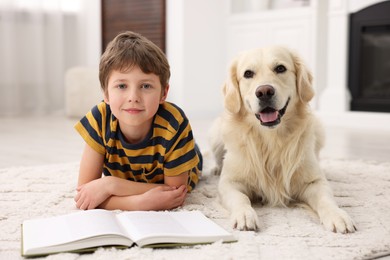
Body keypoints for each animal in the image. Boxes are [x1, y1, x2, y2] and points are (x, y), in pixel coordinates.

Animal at [210, 45, 356, 234]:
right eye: (248, 73)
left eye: (280, 68)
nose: (264, 92)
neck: (271, 140)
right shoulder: (230, 183)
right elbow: (240, 198)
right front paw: (244, 215)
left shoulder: (314, 181)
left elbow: (326, 199)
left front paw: (338, 215)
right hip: (215, 135)